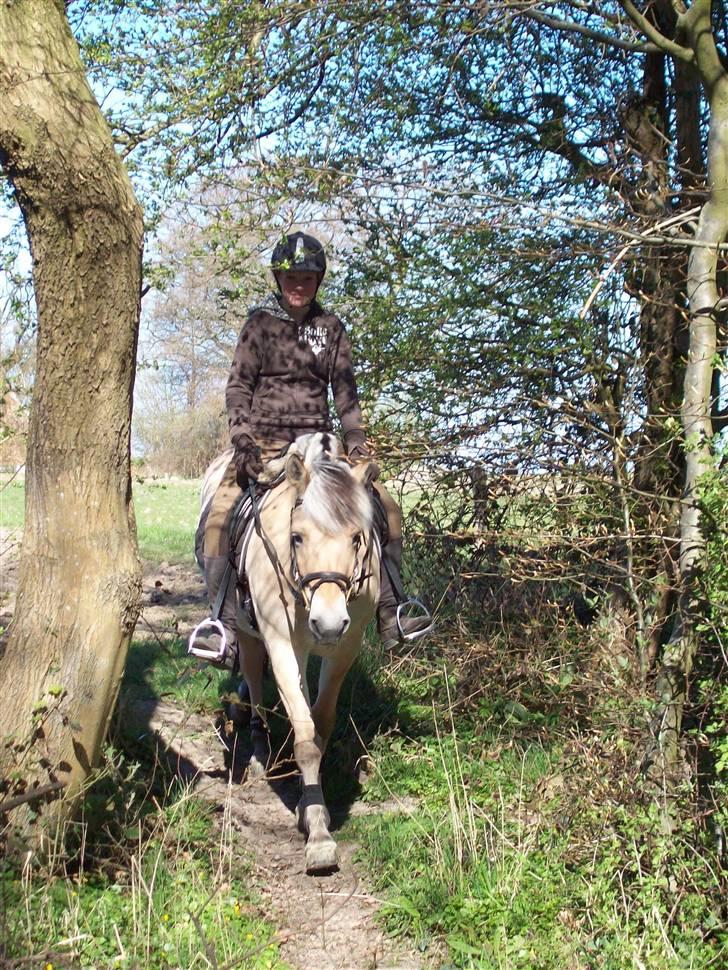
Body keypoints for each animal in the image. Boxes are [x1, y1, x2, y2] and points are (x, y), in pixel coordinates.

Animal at [191, 434, 382, 872]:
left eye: (356, 538)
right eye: (297, 537)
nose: (327, 622)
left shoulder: (345, 647)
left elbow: (319, 724)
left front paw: (312, 810)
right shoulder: (281, 643)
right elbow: (305, 735)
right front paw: (318, 833)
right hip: (248, 631)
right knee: (254, 681)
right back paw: (260, 747)